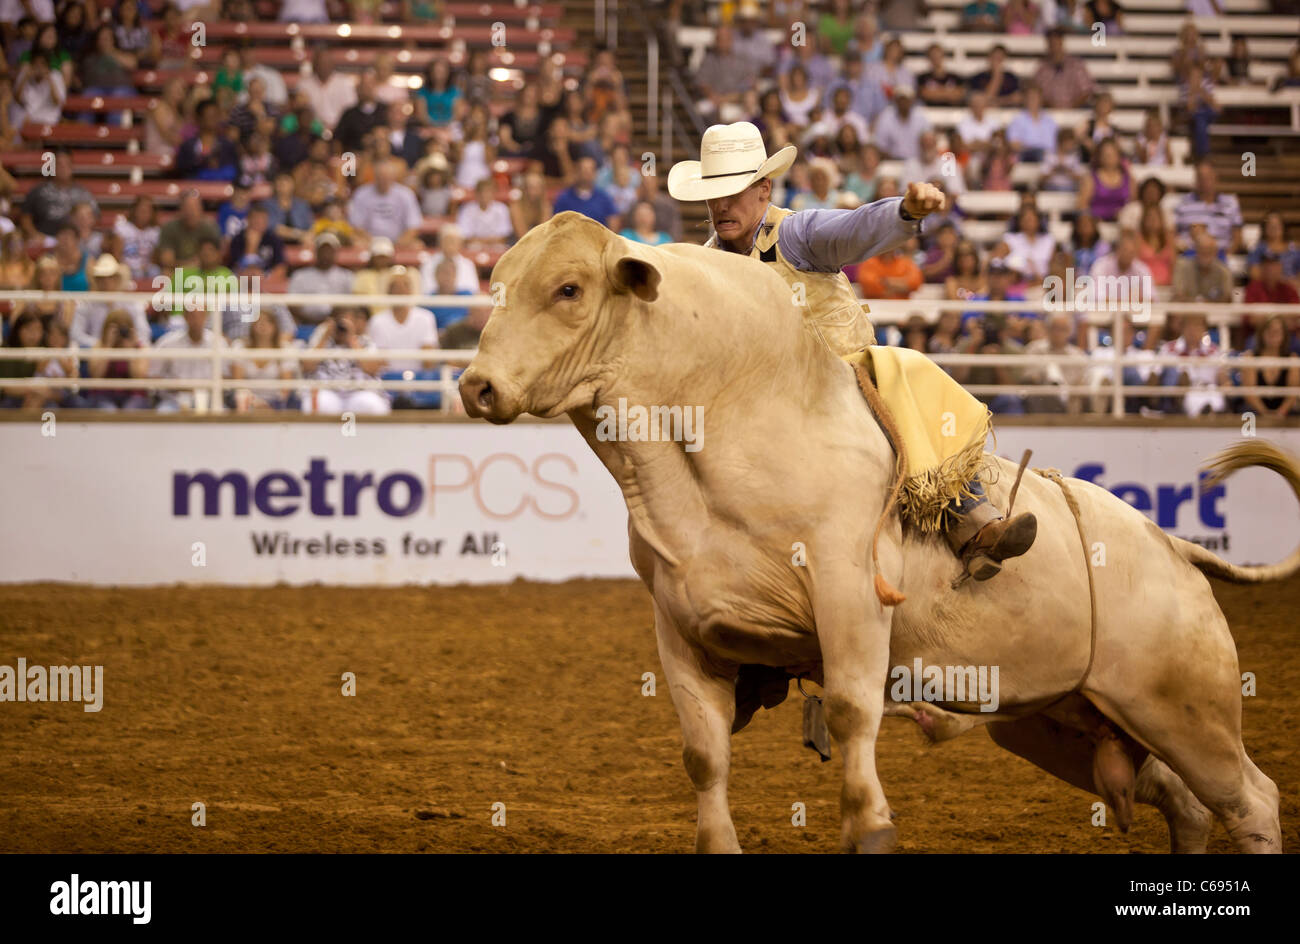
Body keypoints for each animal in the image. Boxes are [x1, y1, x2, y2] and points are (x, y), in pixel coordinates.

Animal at [457, 215, 1289, 858]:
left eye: (568, 289)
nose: (476, 386)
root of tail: (1171, 549)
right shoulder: (681, 627)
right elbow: (704, 754)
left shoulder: (850, 596)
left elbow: (854, 715)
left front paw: (872, 825)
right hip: (1064, 721)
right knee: (1184, 802)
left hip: (1185, 705)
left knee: (1250, 798)